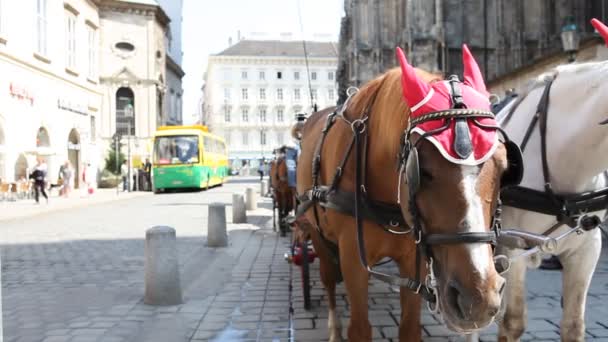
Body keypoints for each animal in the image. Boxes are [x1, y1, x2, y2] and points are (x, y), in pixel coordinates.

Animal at [294, 46, 524, 342]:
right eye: (421, 170)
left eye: (504, 167)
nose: (478, 299)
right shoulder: (353, 261)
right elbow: (359, 328)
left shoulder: (415, 259)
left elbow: (410, 327)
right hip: (316, 232)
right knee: (329, 279)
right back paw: (334, 328)